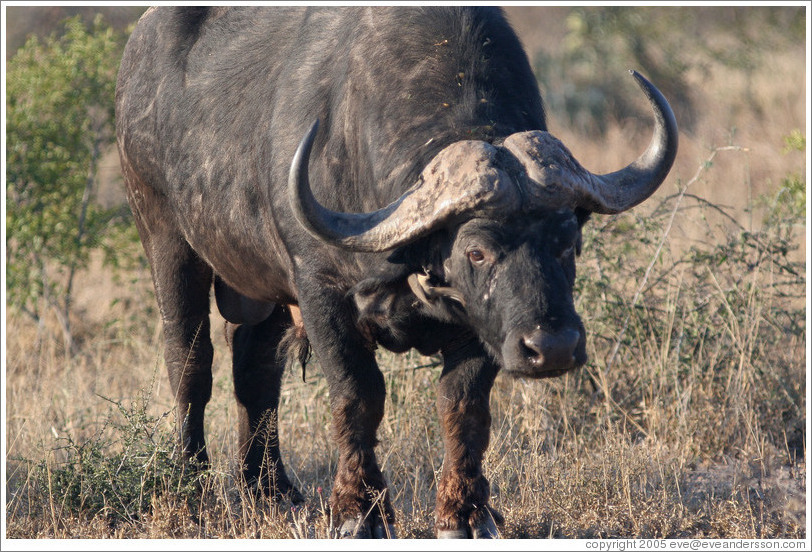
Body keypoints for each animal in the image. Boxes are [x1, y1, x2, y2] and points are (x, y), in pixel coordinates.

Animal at [116, 6, 677, 538]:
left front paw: (465, 513)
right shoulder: (319, 291)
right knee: (190, 363)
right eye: (476, 252)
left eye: (568, 243)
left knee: (255, 367)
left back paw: (270, 491)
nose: (554, 348)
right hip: (164, 236)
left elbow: (463, 405)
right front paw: (357, 513)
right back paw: (192, 488)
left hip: (263, 288)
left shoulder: (483, 326)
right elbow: (357, 395)